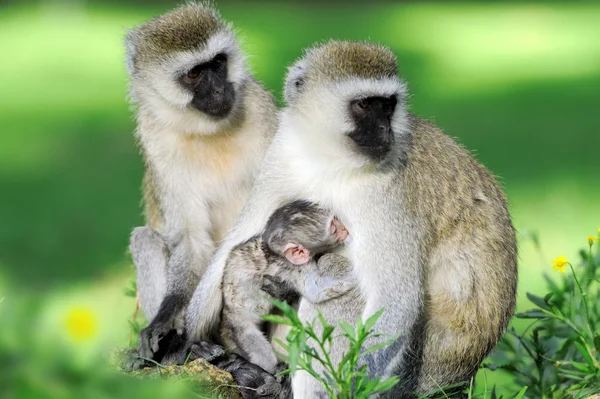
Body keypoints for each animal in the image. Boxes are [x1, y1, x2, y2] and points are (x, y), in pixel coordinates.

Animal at [126, 2, 278, 366]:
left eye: (218, 63)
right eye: (195, 74)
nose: (220, 90)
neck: (208, 132)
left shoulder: (261, 110)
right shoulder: (156, 138)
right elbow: (190, 239)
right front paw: (165, 318)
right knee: (144, 239)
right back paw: (190, 345)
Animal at [219, 200, 352, 376]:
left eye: (336, 220)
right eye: (333, 228)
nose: (345, 229)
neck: (272, 252)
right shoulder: (292, 267)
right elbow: (315, 290)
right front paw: (354, 276)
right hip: (238, 326)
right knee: (263, 356)